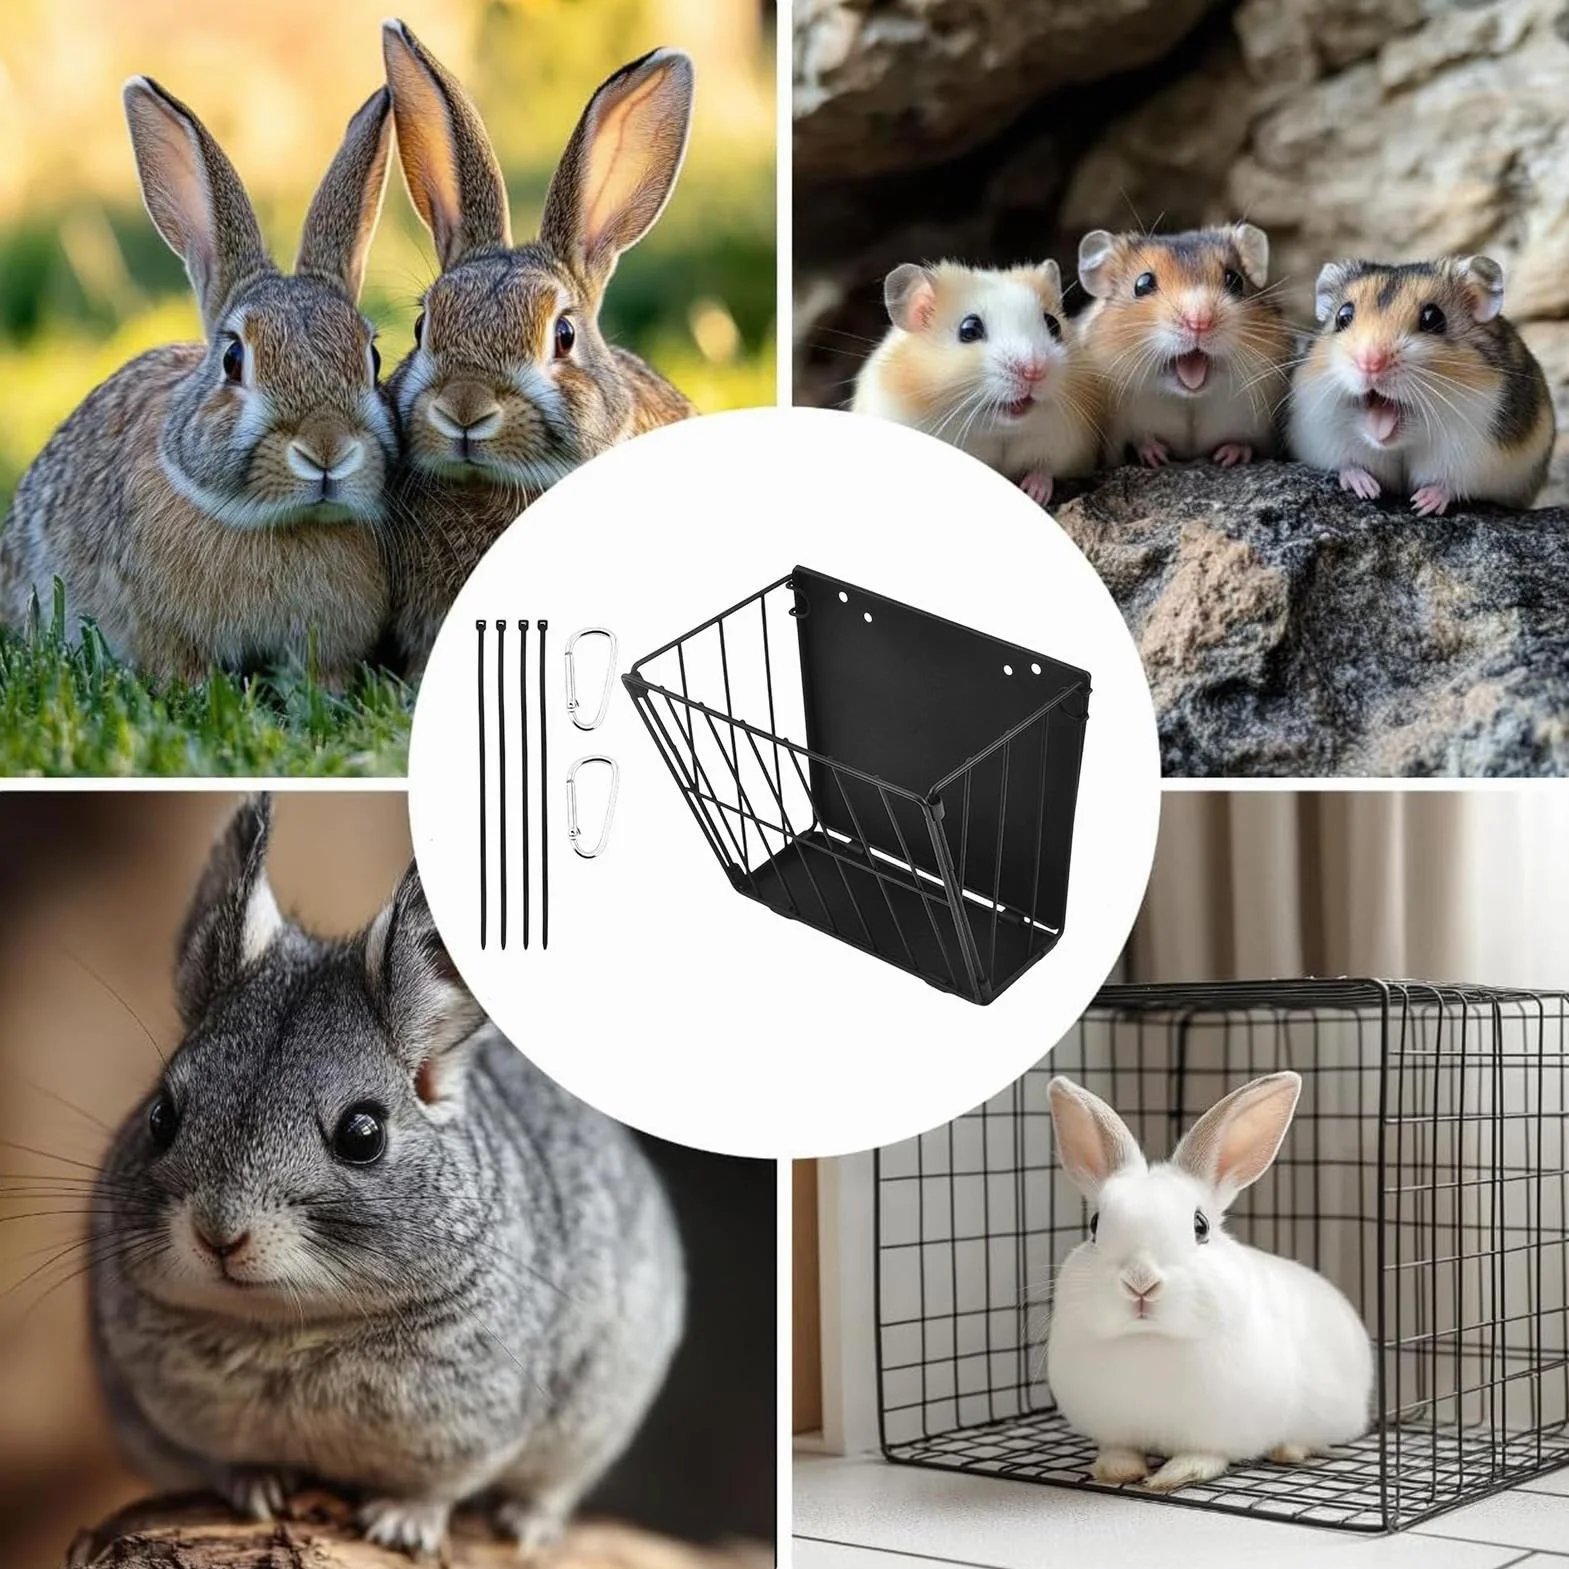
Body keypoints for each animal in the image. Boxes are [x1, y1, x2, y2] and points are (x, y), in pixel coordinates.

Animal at [89, 795, 684, 1556]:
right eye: (163, 1114)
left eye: (362, 1134)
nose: (219, 1234)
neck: (288, 1328)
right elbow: (226, 1460)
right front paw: (256, 1487)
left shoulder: (478, 1425)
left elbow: (434, 1488)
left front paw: (401, 1525)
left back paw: (526, 1525)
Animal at [1045, 1072, 1373, 1493]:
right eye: (1094, 1225)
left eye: (1200, 1226)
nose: (1140, 1282)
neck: (1149, 1340)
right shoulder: (1115, 1430)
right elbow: (1120, 1450)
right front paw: (1118, 1471)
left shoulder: (1219, 1433)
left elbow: (1204, 1456)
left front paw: (1172, 1476)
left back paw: (1289, 1450)